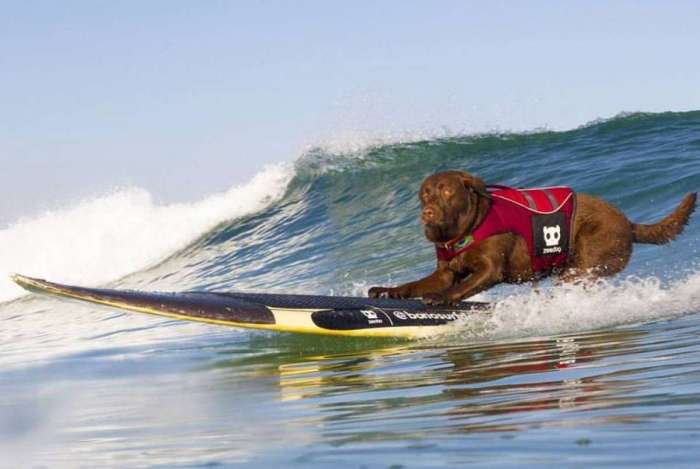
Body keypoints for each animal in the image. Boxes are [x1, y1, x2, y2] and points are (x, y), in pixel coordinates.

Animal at [366, 170, 696, 306]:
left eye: (447, 191)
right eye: (425, 194)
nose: (428, 212)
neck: (465, 230)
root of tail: (629, 223)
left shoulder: (490, 270)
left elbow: (461, 287)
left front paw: (440, 298)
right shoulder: (444, 272)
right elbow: (417, 284)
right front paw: (388, 291)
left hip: (586, 261)